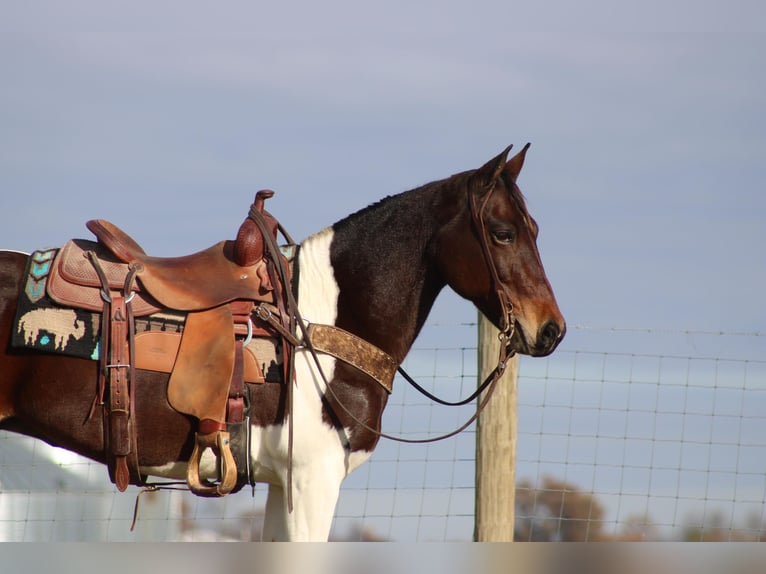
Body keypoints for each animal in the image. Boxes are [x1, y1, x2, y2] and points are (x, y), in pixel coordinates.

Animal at [0, 146, 564, 544]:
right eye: (503, 232)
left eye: (535, 228)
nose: (551, 330)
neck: (322, 321)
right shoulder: (314, 479)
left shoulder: (283, 484)